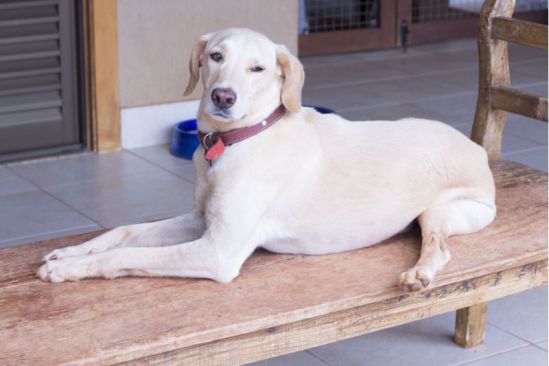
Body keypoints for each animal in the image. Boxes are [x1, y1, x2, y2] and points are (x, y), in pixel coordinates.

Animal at [36, 28, 494, 292]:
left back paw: (420, 276)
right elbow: (125, 232)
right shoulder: (200, 220)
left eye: (257, 69)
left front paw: (71, 270)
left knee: (439, 249)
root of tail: (477, 149)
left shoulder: (217, 251)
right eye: (216, 57)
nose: (223, 97)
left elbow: (127, 256)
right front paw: (72, 253)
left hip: (442, 212)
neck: (236, 141)